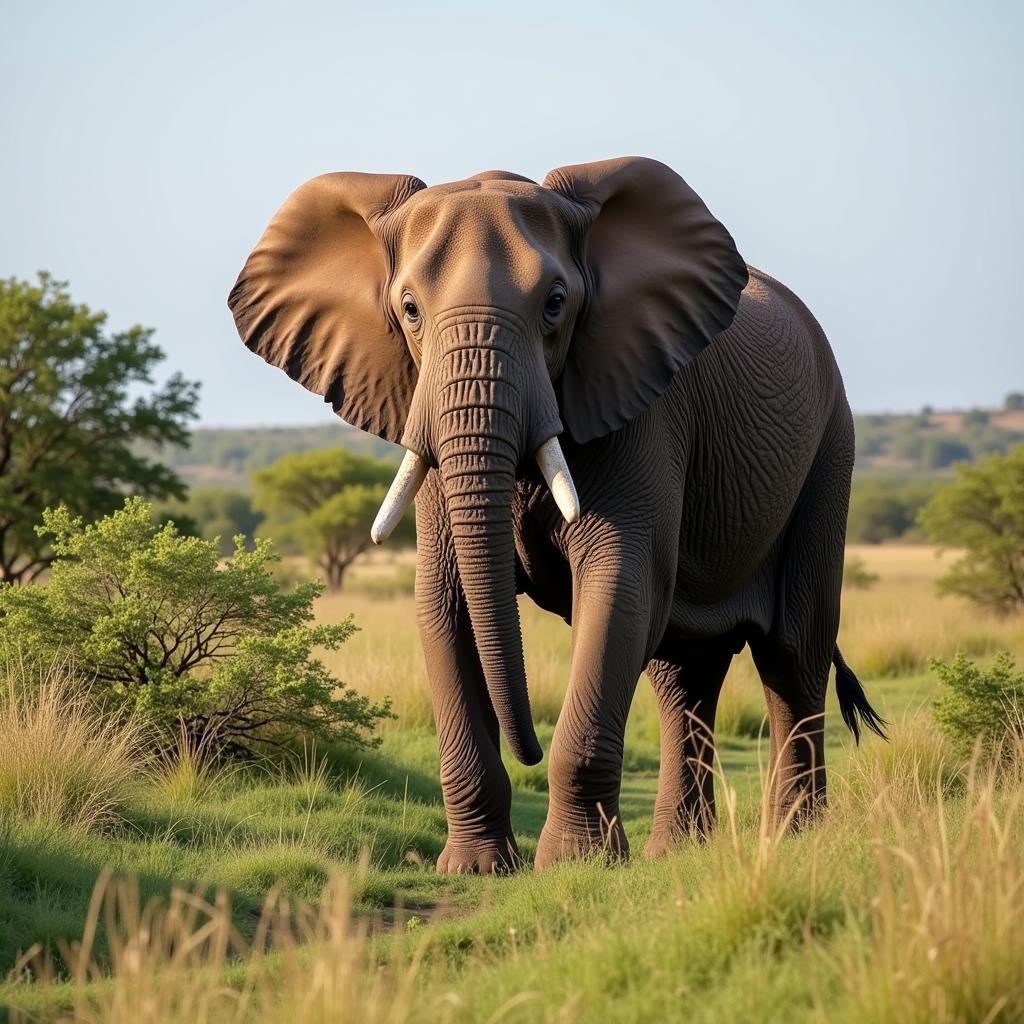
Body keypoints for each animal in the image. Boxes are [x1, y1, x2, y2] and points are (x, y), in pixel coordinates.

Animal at [228, 153, 884, 872]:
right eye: (408, 309)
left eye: (555, 303)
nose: (529, 749)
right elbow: (444, 603)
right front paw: (479, 868)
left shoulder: (643, 408)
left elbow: (618, 588)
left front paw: (577, 863)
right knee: (684, 673)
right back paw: (676, 851)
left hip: (831, 449)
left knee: (794, 655)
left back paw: (794, 840)